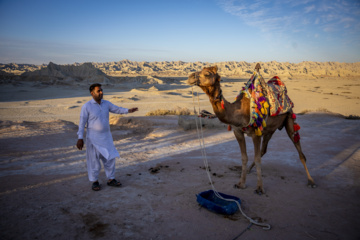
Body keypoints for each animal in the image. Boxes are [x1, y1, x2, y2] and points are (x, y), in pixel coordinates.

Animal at [188, 64, 316, 194]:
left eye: (207, 73)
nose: (190, 77)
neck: (238, 111)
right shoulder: (238, 131)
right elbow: (244, 157)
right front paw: (241, 183)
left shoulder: (256, 133)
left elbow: (257, 158)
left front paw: (259, 188)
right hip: (270, 129)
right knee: (264, 150)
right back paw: (249, 169)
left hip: (289, 118)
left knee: (298, 149)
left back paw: (311, 181)